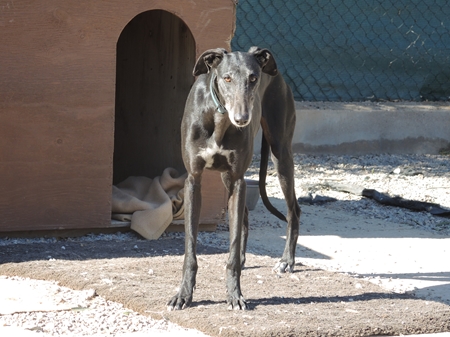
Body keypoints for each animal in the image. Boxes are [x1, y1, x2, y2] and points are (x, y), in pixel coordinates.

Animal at [167, 47, 300, 310]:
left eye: (253, 78)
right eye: (227, 78)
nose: (242, 119)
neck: (219, 118)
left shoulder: (238, 179)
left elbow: (234, 238)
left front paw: (234, 294)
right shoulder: (194, 180)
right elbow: (190, 247)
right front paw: (183, 295)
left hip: (280, 155)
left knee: (293, 210)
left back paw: (286, 261)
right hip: (228, 178)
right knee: (246, 217)